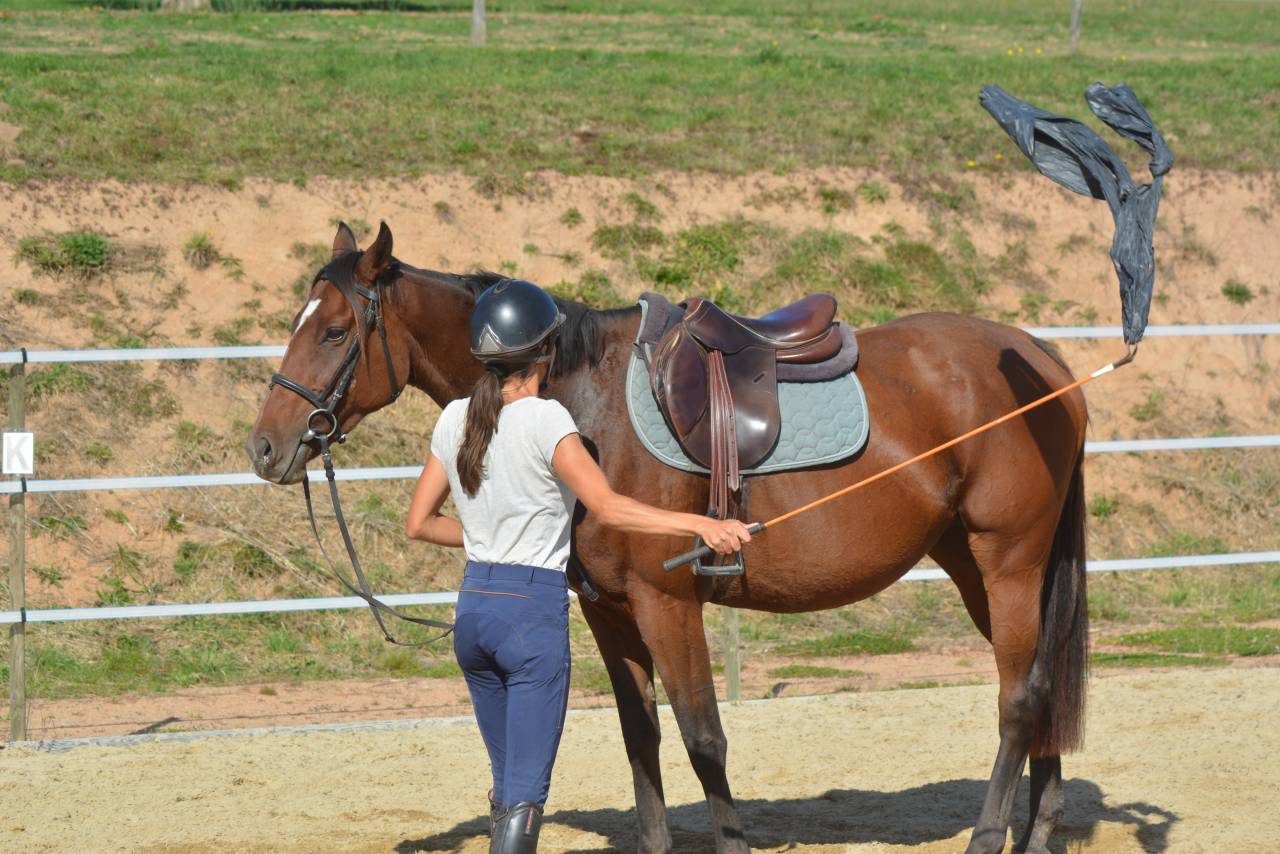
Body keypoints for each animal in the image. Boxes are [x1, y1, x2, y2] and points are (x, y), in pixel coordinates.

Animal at [247, 221, 1089, 854]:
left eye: (334, 331)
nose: (264, 447)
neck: (580, 400)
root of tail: (1042, 358)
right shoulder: (608, 611)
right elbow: (641, 736)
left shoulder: (667, 604)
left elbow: (703, 737)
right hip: (978, 567)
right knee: (1042, 688)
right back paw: (1040, 832)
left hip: (1009, 563)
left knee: (1019, 698)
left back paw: (991, 836)